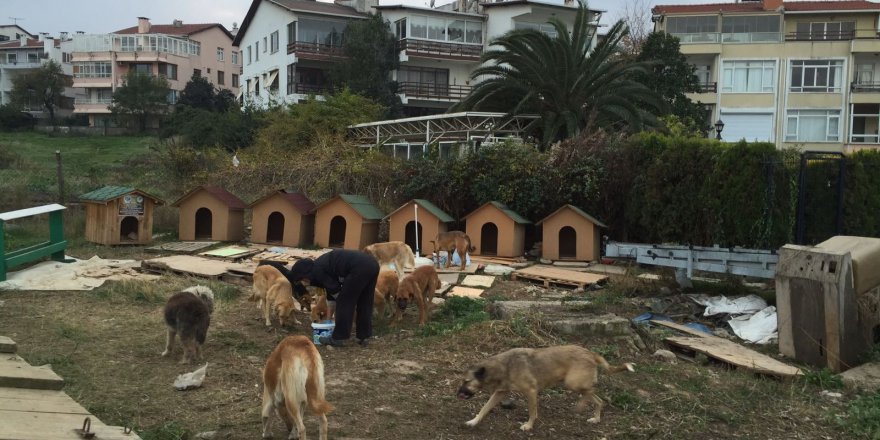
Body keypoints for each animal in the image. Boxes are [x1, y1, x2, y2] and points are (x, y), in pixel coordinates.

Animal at [458, 346, 636, 432]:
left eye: (466, 381)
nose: (457, 393)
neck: (504, 365)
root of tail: (591, 353)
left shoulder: (531, 391)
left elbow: (532, 413)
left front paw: (528, 426)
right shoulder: (500, 393)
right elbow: (483, 409)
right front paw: (473, 421)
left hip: (572, 383)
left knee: (591, 391)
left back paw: (580, 406)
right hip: (575, 384)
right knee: (599, 400)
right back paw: (596, 418)